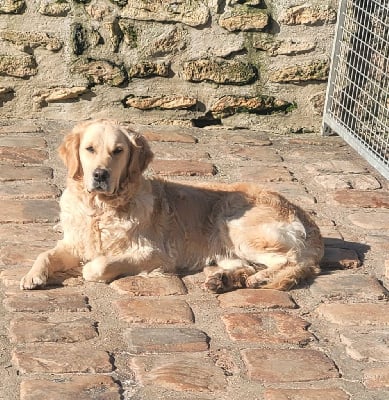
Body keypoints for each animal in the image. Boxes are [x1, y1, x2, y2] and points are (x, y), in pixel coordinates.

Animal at [20, 119, 324, 290]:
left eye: (118, 151)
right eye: (89, 149)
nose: (100, 175)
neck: (101, 209)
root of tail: (307, 218)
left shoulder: (155, 254)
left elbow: (96, 266)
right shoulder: (75, 242)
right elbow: (44, 254)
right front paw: (32, 276)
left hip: (235, 226)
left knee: (292, 261)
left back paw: (260, 279)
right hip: (228, 248)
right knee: (253, 267)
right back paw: (223, 281)